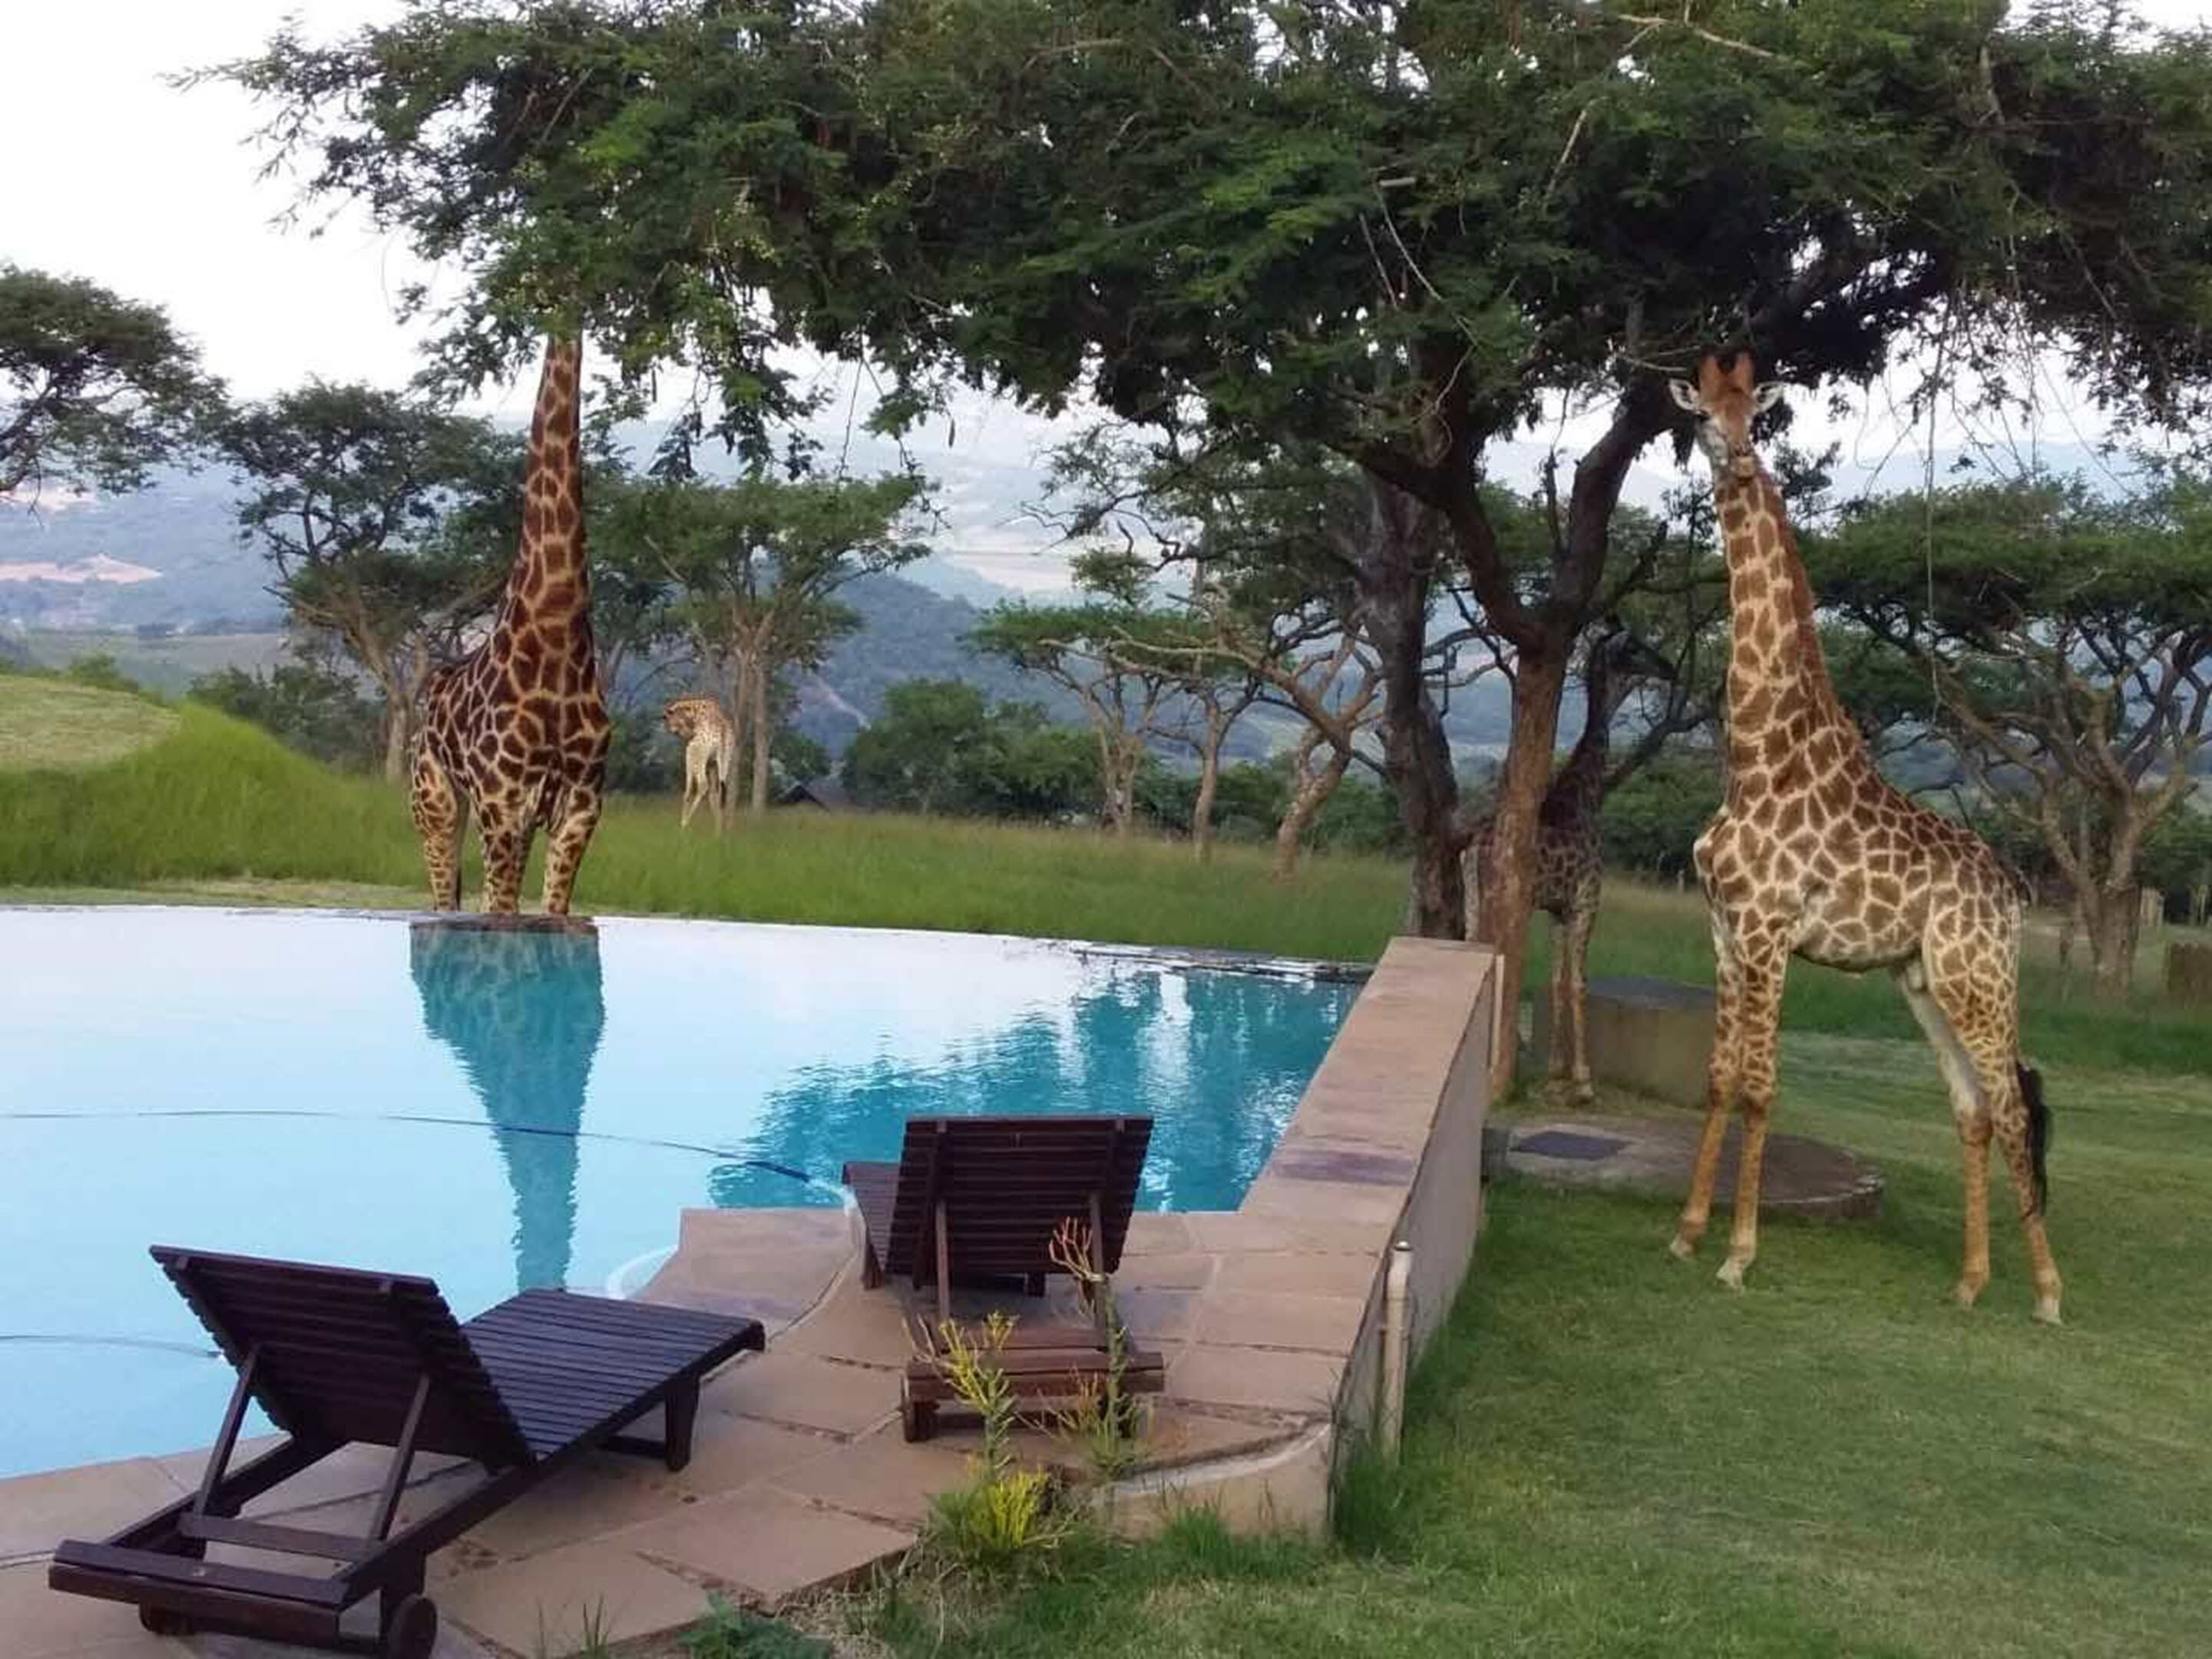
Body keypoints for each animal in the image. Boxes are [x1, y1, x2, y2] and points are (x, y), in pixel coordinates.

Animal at [410, 338, 610, 915]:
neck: (557, 622)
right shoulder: (502, 802)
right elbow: (501, 912)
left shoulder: (581, 805)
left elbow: (550, 911)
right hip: (436, 802)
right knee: (445, 903)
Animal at [663, 695, 737, 832]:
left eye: (670, 719)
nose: (673, 730)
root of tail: (723, 733)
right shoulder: (712, 763)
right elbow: (714, 794)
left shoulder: (691, 754)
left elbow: (687, 791)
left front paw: (682, 825)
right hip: (725, 758)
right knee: (720, 790)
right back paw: (719, 832)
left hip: (698, 754)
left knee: (703, 785)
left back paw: (685, 824)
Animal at [1467, 622, 1674, 1101]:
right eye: (1635, 649)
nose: (1671, 670)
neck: (1585, 798)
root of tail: (1474, 848)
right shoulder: (1586, 902)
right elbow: (1579, 982)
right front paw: (1583, 1080)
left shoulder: (1556, 911)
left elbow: (1557, 980)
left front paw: (1556, 1070)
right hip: (1497, 900)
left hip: (1472, 897)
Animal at [1666, 352, 2060, 1322]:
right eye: (1701, 416)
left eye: (1754, 415)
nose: (1736, 459)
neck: (1755, 751)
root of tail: (2012, 894)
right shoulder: (1724, 929)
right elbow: (1719, 1078)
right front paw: (1687, 1233)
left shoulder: (1768, 931)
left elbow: (1762, 1087)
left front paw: (1738, 1253)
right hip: (1921, 980)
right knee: (1974, 1108)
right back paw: (1969, 1280)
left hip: (1976, 977)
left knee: (2011, 1100)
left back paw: (2045, 1293)